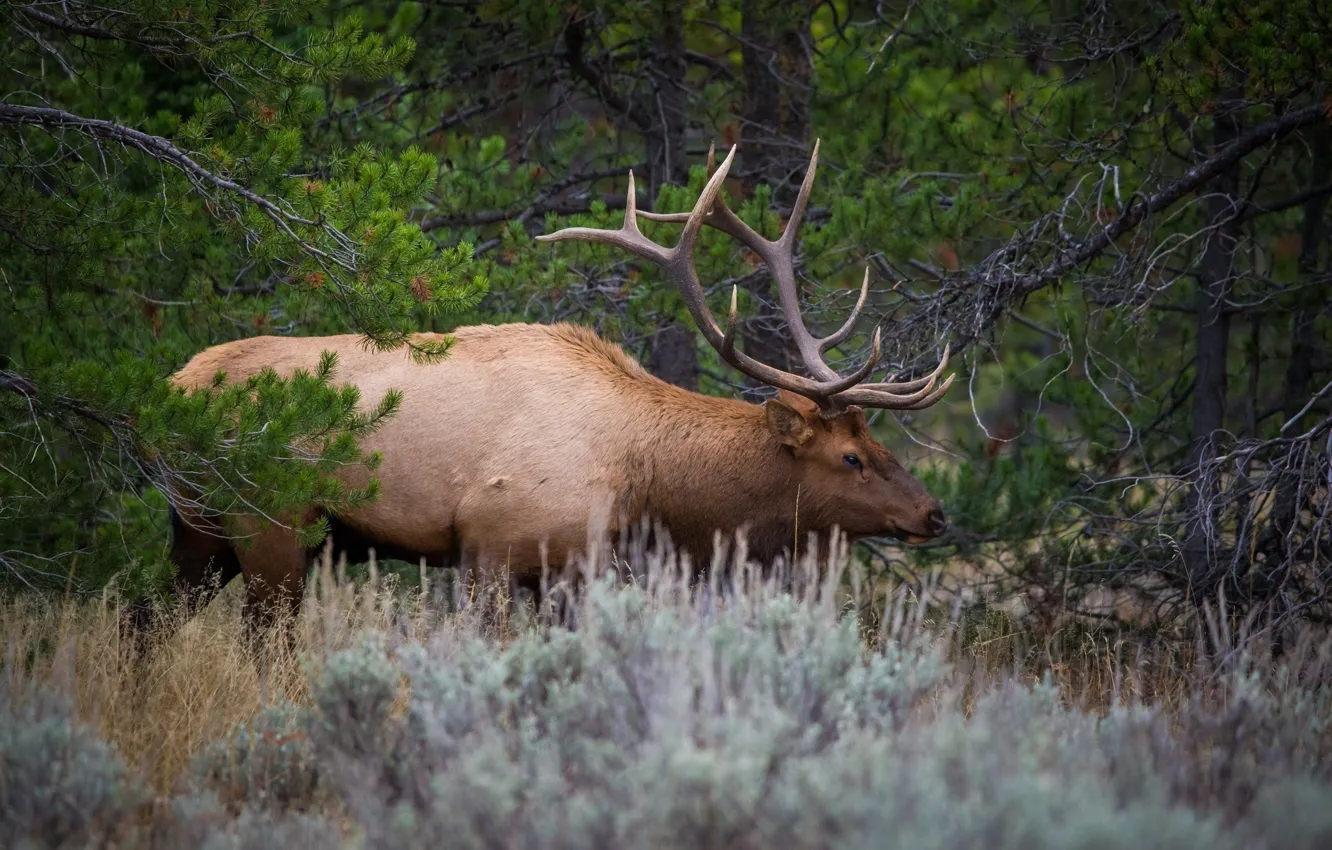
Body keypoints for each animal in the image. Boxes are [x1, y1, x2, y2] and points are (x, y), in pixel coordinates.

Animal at [151, 143, 953, 639]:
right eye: (851, 456)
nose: (934, 513)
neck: (647, 483)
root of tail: (173, 386)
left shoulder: (577, 570)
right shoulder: (490, 547)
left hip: (198, 530)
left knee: (147, 622)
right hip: (269, 526)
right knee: (263, 644)